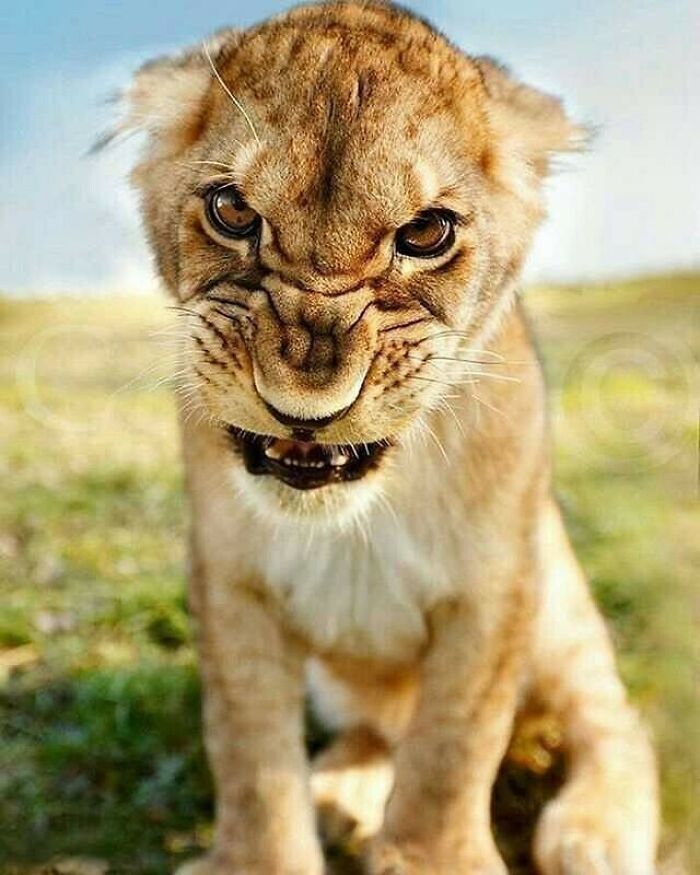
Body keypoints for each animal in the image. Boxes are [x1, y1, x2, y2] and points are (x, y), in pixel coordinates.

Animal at [113, 2, 659, 872]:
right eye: (232, 212)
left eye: (427, 232)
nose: (304, 406)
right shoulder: (230, 579)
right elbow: (247, 748)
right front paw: (262, 854)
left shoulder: (497, 583)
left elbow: (453, 741)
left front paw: (434, 856)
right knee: (376, 727)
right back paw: (340, 793)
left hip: (561, 605)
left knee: (612, 716)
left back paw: (597, 830)